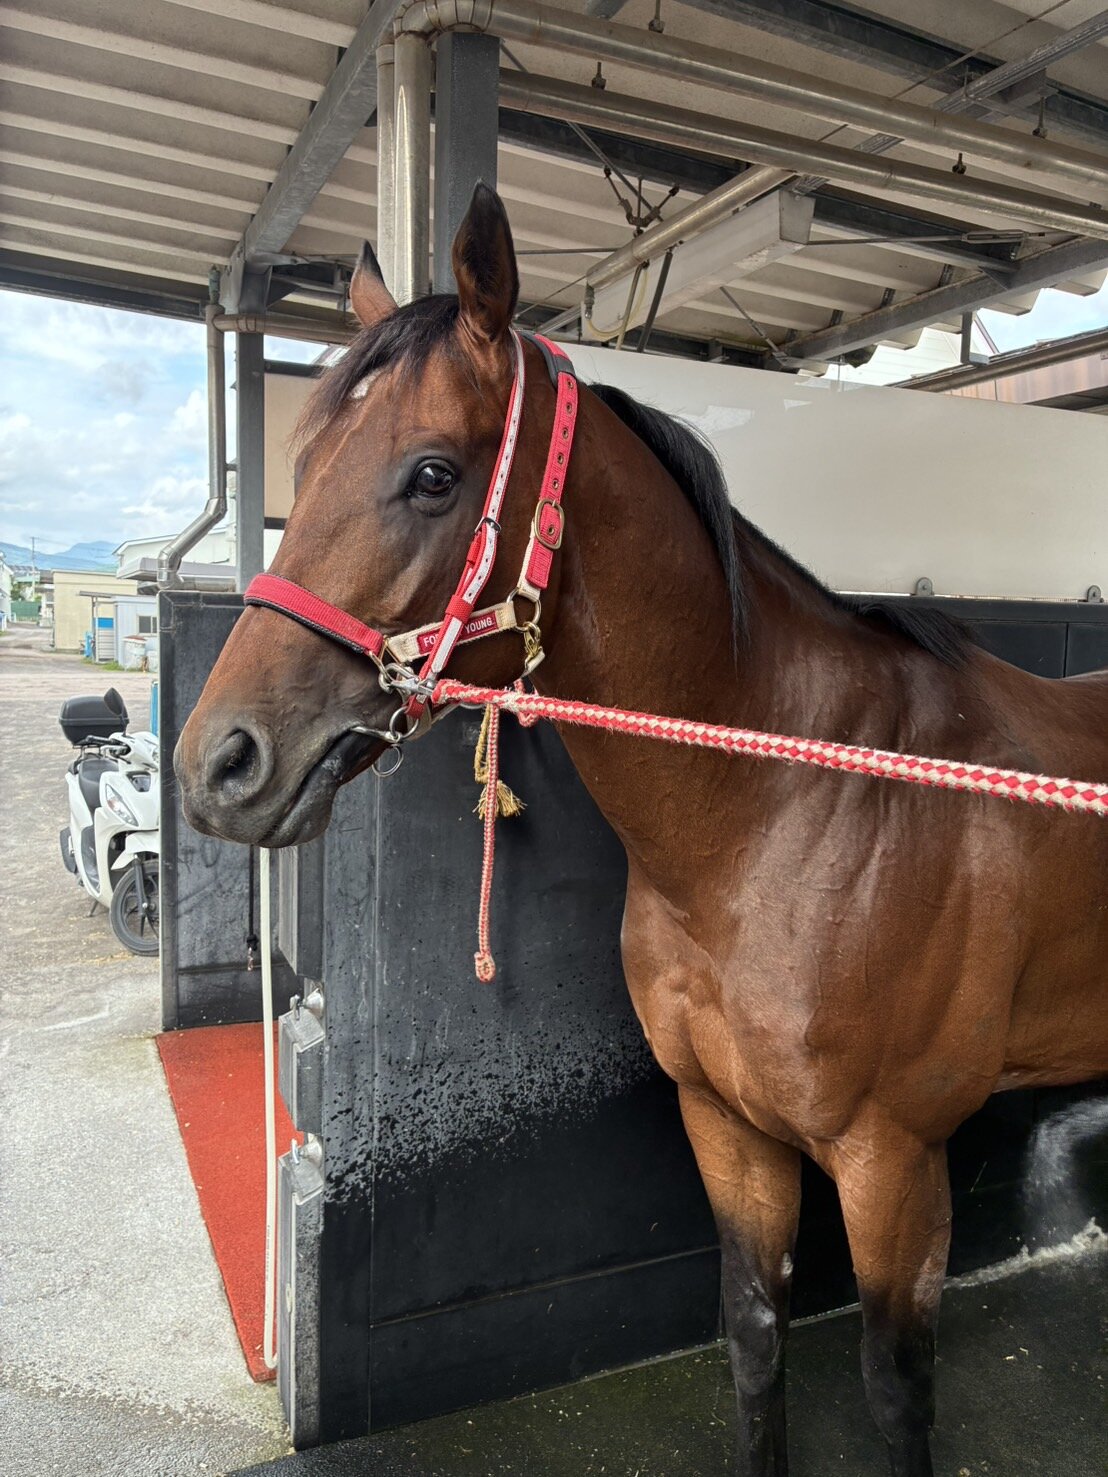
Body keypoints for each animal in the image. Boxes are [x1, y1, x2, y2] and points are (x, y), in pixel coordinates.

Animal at [175, 184, 1108, 1477]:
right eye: (302, 463)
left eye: (431, 474)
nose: (219, 764)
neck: (795, 809)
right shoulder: (723, 1124)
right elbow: (754, 1336)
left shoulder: (892, 1159)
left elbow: (895, 1389)